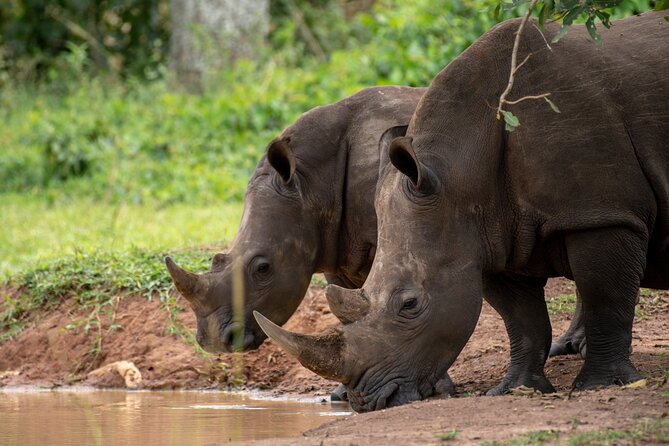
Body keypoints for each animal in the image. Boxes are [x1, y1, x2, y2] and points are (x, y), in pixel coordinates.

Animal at [254, 12, 669, 412]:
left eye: (410, 304)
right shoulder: (492, 234)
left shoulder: (603, 213)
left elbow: (606, 299)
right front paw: (515, 389)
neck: (459, 170)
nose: (370, 402)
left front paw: (601, 385)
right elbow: (522, 319)